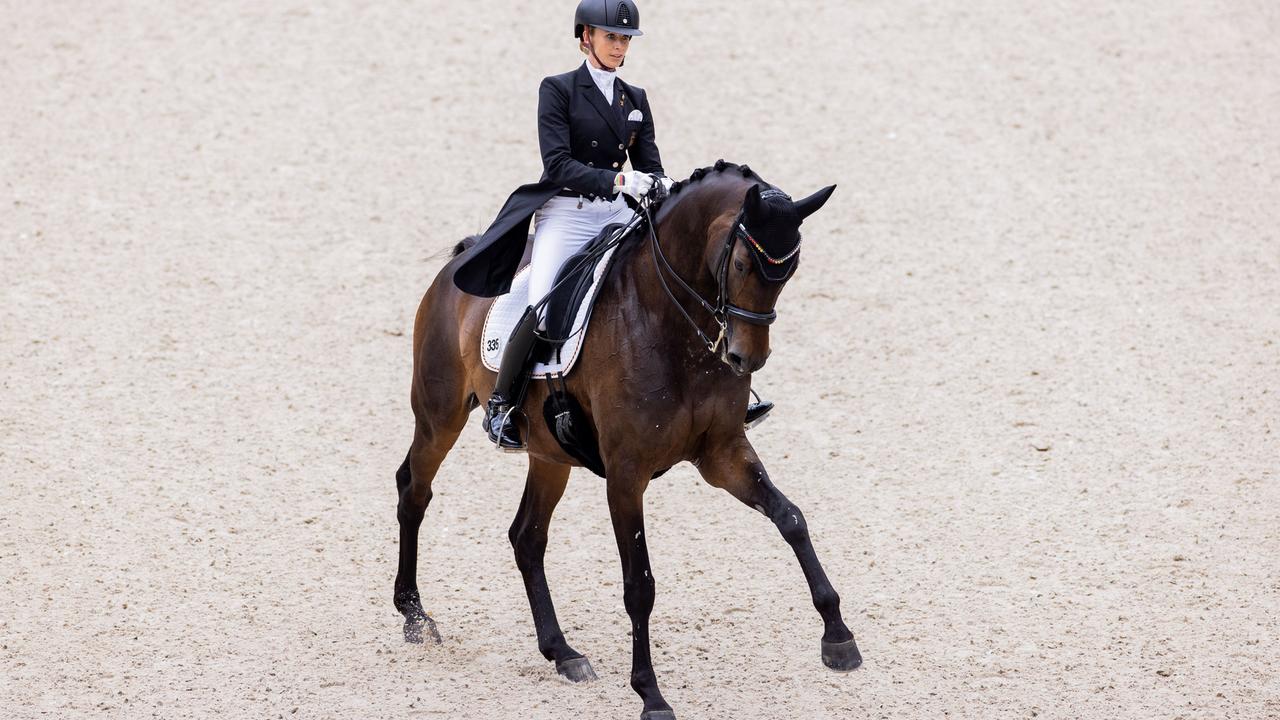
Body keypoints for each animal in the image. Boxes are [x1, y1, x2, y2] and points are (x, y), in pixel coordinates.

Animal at [394, 161, 861, 720]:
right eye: (744, 263)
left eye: (789, 271)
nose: (746, 358)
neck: (670, 323)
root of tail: (459, 263)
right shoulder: (625, 473)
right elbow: (639, 585)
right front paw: (650, 694)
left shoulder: (723, 453)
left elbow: (791, 519)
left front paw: (838, 637)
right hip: (438, 416)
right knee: (414, 492)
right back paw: (415, 617)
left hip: (550, 454)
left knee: (527, 536)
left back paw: (563, 652)